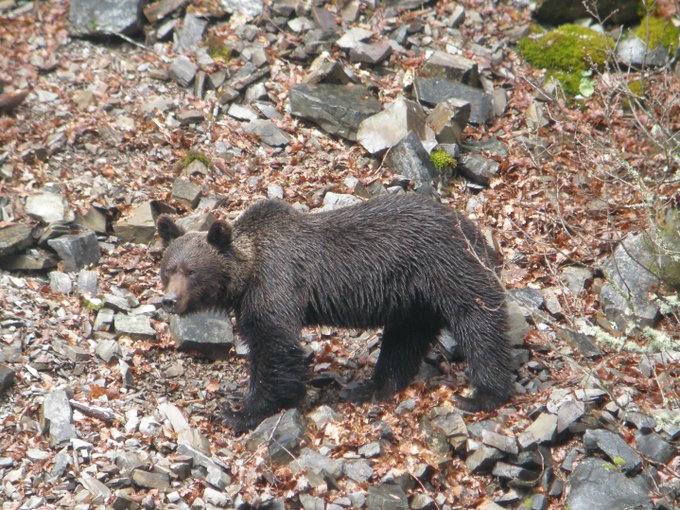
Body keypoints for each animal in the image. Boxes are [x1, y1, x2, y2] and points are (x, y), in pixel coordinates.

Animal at [158, 193, 510, 432]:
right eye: (168, 269)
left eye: (190, 271)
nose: (169, 300)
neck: (248, 272)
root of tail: (473, 228)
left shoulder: (276, 283)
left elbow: (274, 347)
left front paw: (240, 413)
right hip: (414, 299)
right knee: (404, 339)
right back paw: (371, 386)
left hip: (446, 266)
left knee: (479, 320)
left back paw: (483, 394)